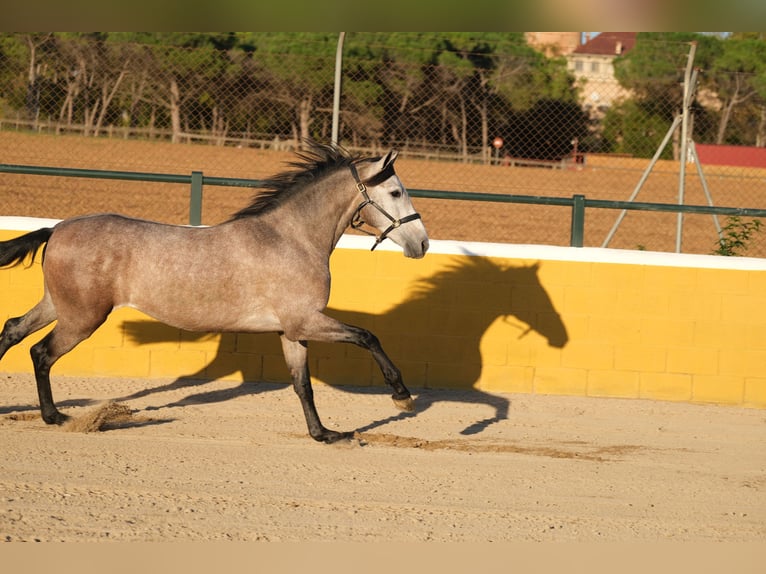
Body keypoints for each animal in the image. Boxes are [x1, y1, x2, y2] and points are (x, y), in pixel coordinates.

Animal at [0, 142, 428, 444]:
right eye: (395, 192)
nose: (421, 243)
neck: (292, 239)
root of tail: (56, 228)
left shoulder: (291, 331)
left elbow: (303, 385)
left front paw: (324, 434)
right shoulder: (306, 321)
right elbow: (367, 336)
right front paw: (402, 396)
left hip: (58, 306)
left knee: (12, 331)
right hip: (82, 318)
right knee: (40, 352)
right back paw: (56, 417)